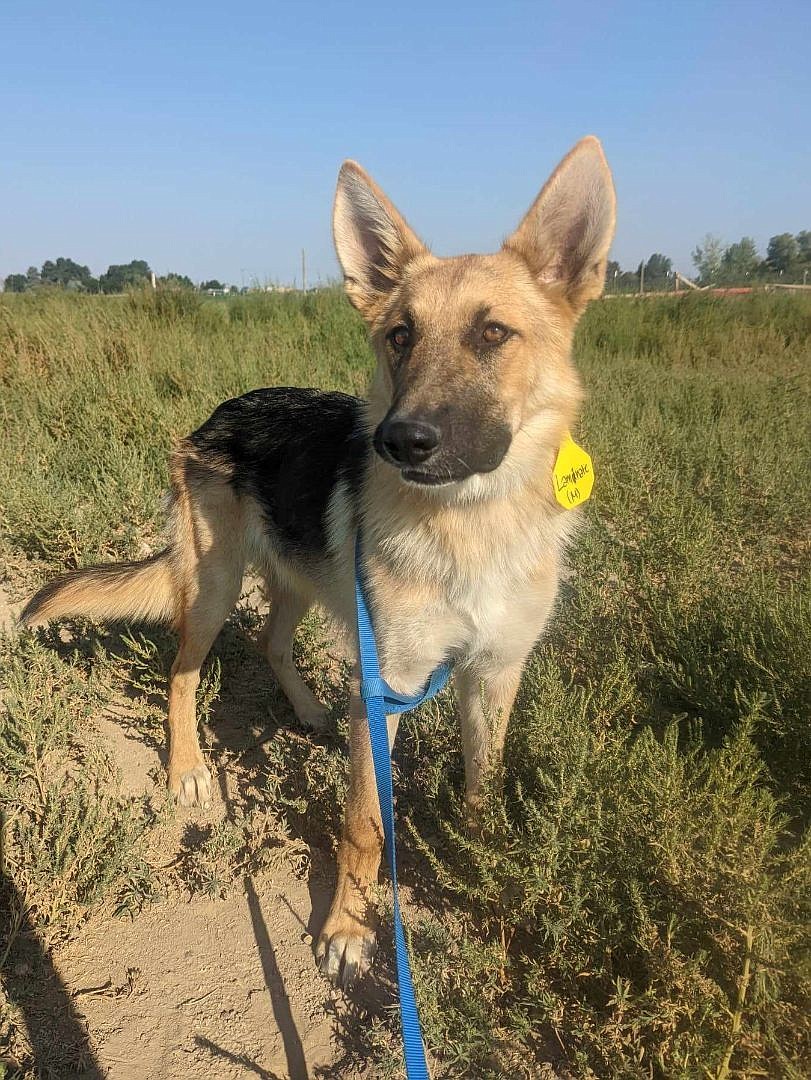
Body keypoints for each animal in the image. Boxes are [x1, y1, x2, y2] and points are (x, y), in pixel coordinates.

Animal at [20, 139, 613, 989]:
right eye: (399, 336)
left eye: (492, 335)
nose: (399, 441)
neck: (469, 524)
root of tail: (221, 410)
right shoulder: (388, 687)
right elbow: (365, 822)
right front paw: (347, 929)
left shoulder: (492, 676)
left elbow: (483, 790)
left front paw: (490, 878)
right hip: (213, 590)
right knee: (183, 672)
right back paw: (188, 766)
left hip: (303, 584)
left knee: (272, 643)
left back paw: (305, 712)